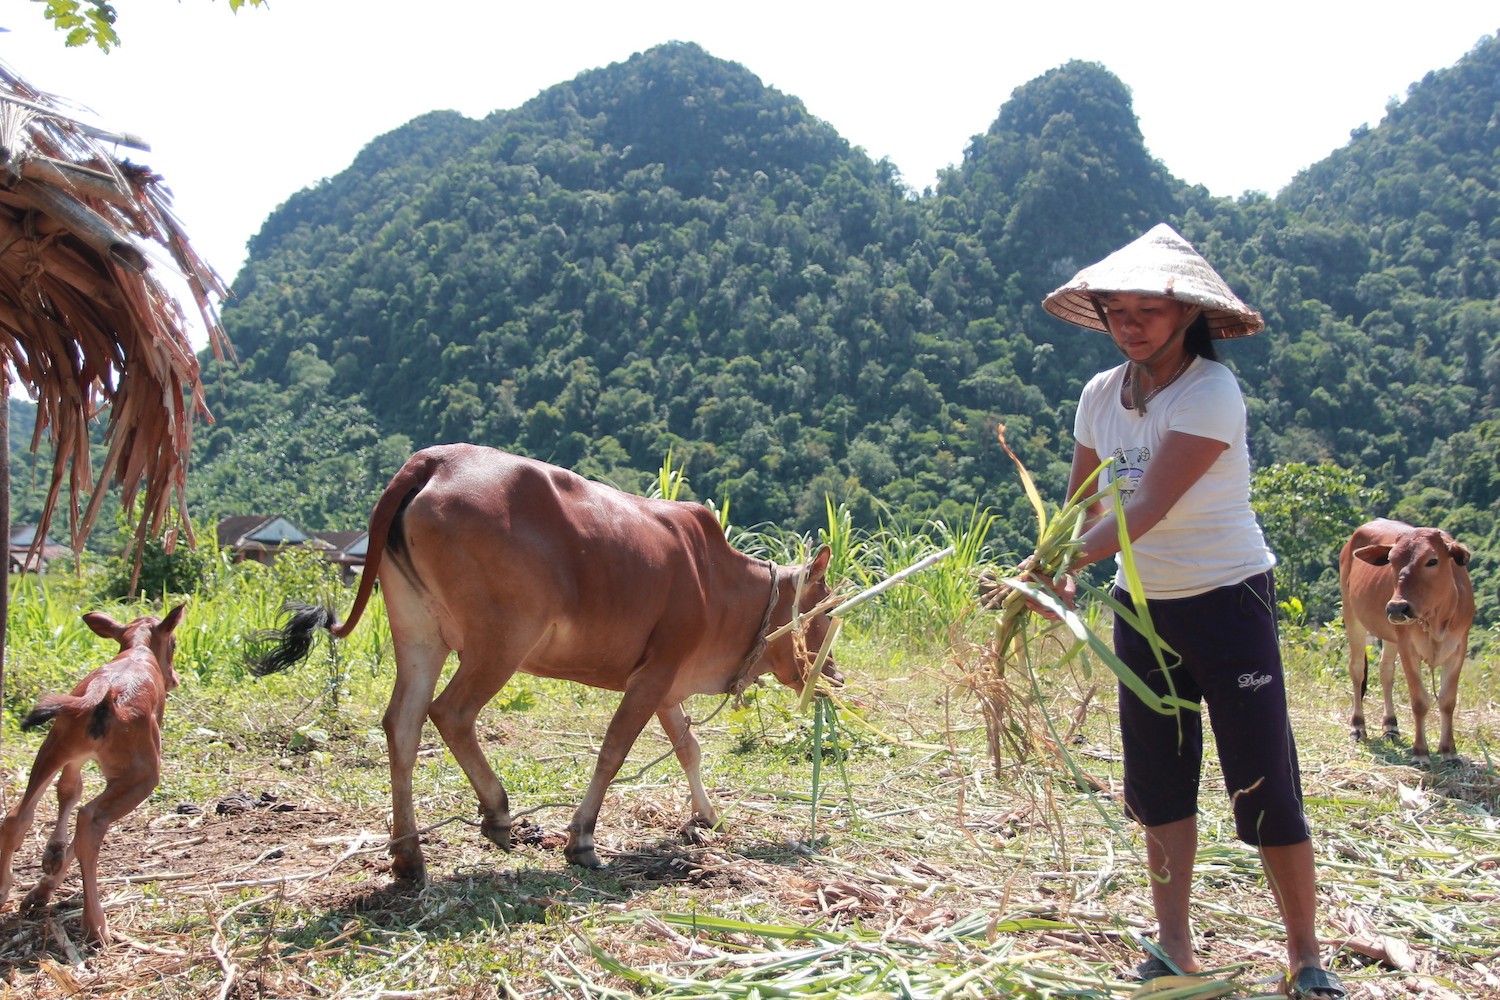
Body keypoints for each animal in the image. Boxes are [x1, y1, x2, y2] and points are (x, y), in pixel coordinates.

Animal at [0, 602, 186, 947]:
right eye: (175, 643)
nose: (174, 679)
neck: (136, 651)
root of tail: (106, 692)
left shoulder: (75, 757)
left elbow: (68, 790)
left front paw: (50, 860)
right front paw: (47, 881)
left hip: (54, 745)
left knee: (18, 816)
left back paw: (6, 886)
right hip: (142, 776)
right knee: (90, 821)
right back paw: (95, 924)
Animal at [259, 446, 846, 875]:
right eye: (826, 611)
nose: (835, 677)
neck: (720, 583)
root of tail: (434, 459)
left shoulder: (665, 684)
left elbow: (688, 749)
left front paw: (706, 816)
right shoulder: (654, 675)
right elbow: (613, 753)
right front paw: (581, 838)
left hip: (420, 634)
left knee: (402, 723)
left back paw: (408, 856)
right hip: (501, 641)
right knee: (450, 713)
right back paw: (496, 812)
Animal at [1344, 521, 1470, 761]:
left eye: (1432, 560)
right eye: (1391, 560)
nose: (1396, 608)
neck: (1435, 620)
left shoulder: (1458, 648)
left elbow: (1447, 701)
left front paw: (1449, 751)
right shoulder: (1408, 647)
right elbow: (1419, 701)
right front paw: (1420, 753)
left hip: (1391, 635)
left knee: (1386, 671)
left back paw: (1390, 726)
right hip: (1352, 616)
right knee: (1356, 670)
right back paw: (1358, 726)